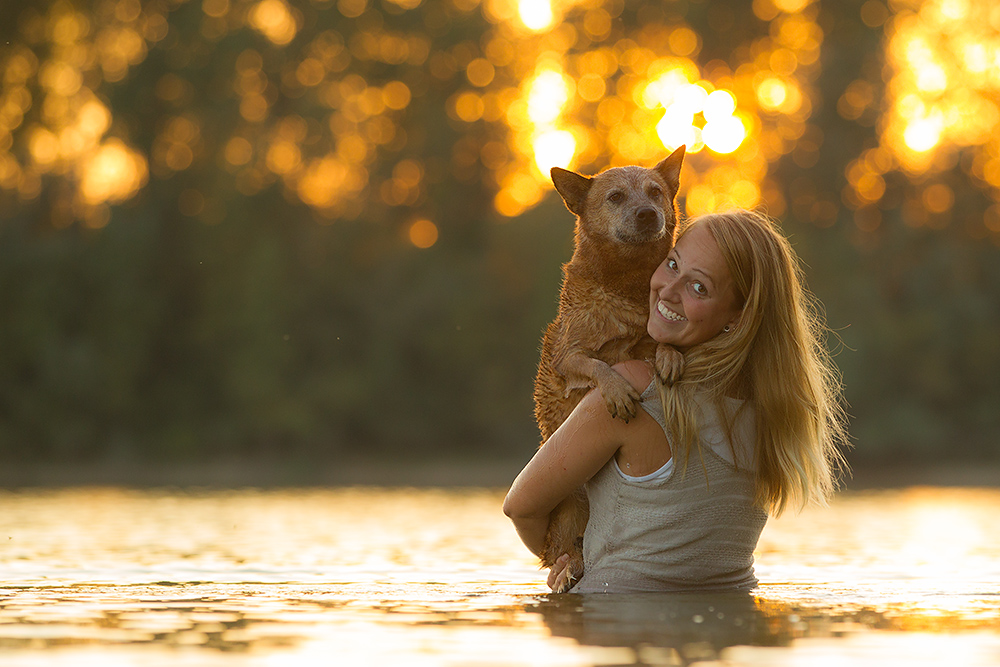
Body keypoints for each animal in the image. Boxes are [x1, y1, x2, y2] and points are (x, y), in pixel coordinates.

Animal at [536, 145, 684, 588]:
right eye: (616, 197)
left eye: (655, 192)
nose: (647, 214)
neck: (627, 287)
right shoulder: (568, 357)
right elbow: (598, 366)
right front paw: (617, 390)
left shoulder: (648, 334)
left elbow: (659, 343)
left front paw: (669, 355)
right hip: (569, 505)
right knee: (566, 550)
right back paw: (570, 567)